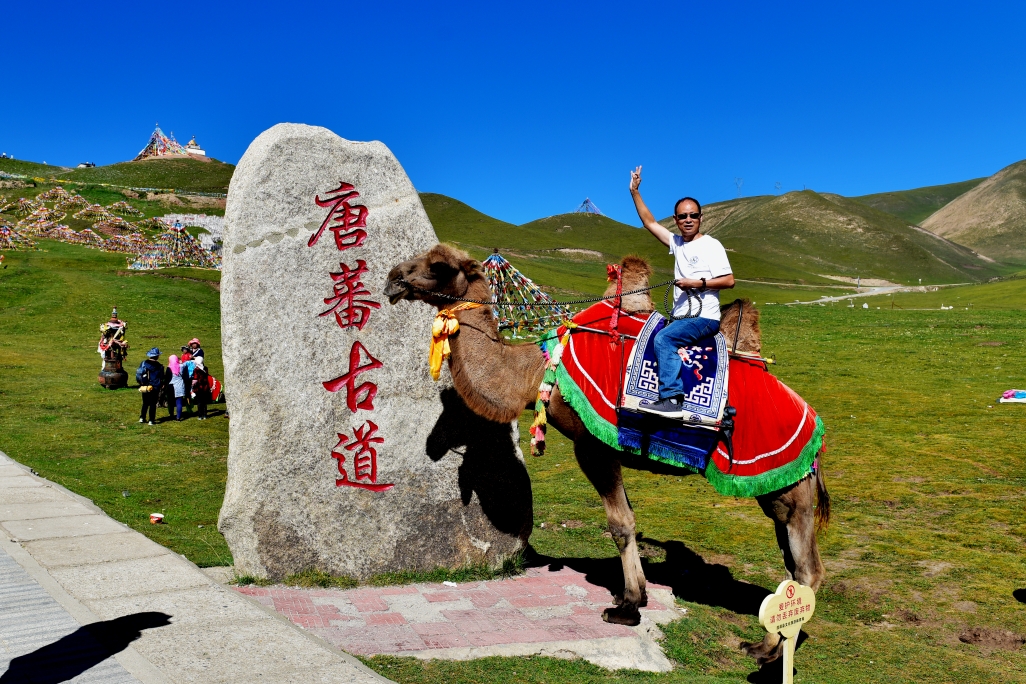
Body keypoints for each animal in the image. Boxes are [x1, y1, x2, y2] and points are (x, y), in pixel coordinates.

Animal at [383, 245, 824, 664]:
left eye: (439, 265)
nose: (392, 278)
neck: (534, 374)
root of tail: (815, 426)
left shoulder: (593, 445)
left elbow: (620, 524)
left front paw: (626, 608)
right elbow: (628, 519)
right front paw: (637, 593)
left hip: (784, 481)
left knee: (808, 568)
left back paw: (769, 650)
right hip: (776, 490)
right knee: (791, 558)